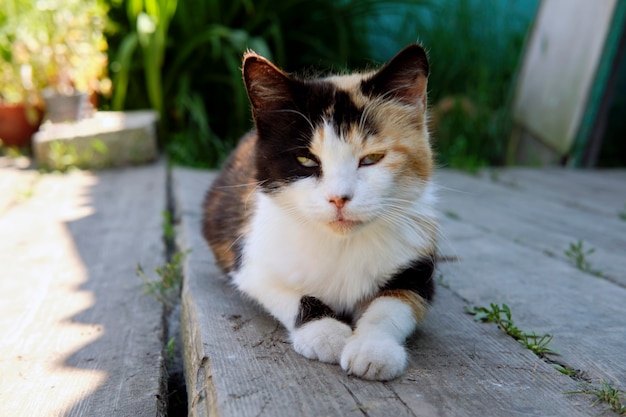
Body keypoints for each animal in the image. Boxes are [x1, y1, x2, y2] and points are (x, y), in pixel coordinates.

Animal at [202, 43, 436, 380]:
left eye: (372, 158)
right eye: (306, 160)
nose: (339, 198)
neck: (342, 244)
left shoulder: (418, 267)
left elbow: (393, 304)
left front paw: (373, 347)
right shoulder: (251, 263)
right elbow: (288, 294)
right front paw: (326, 333)